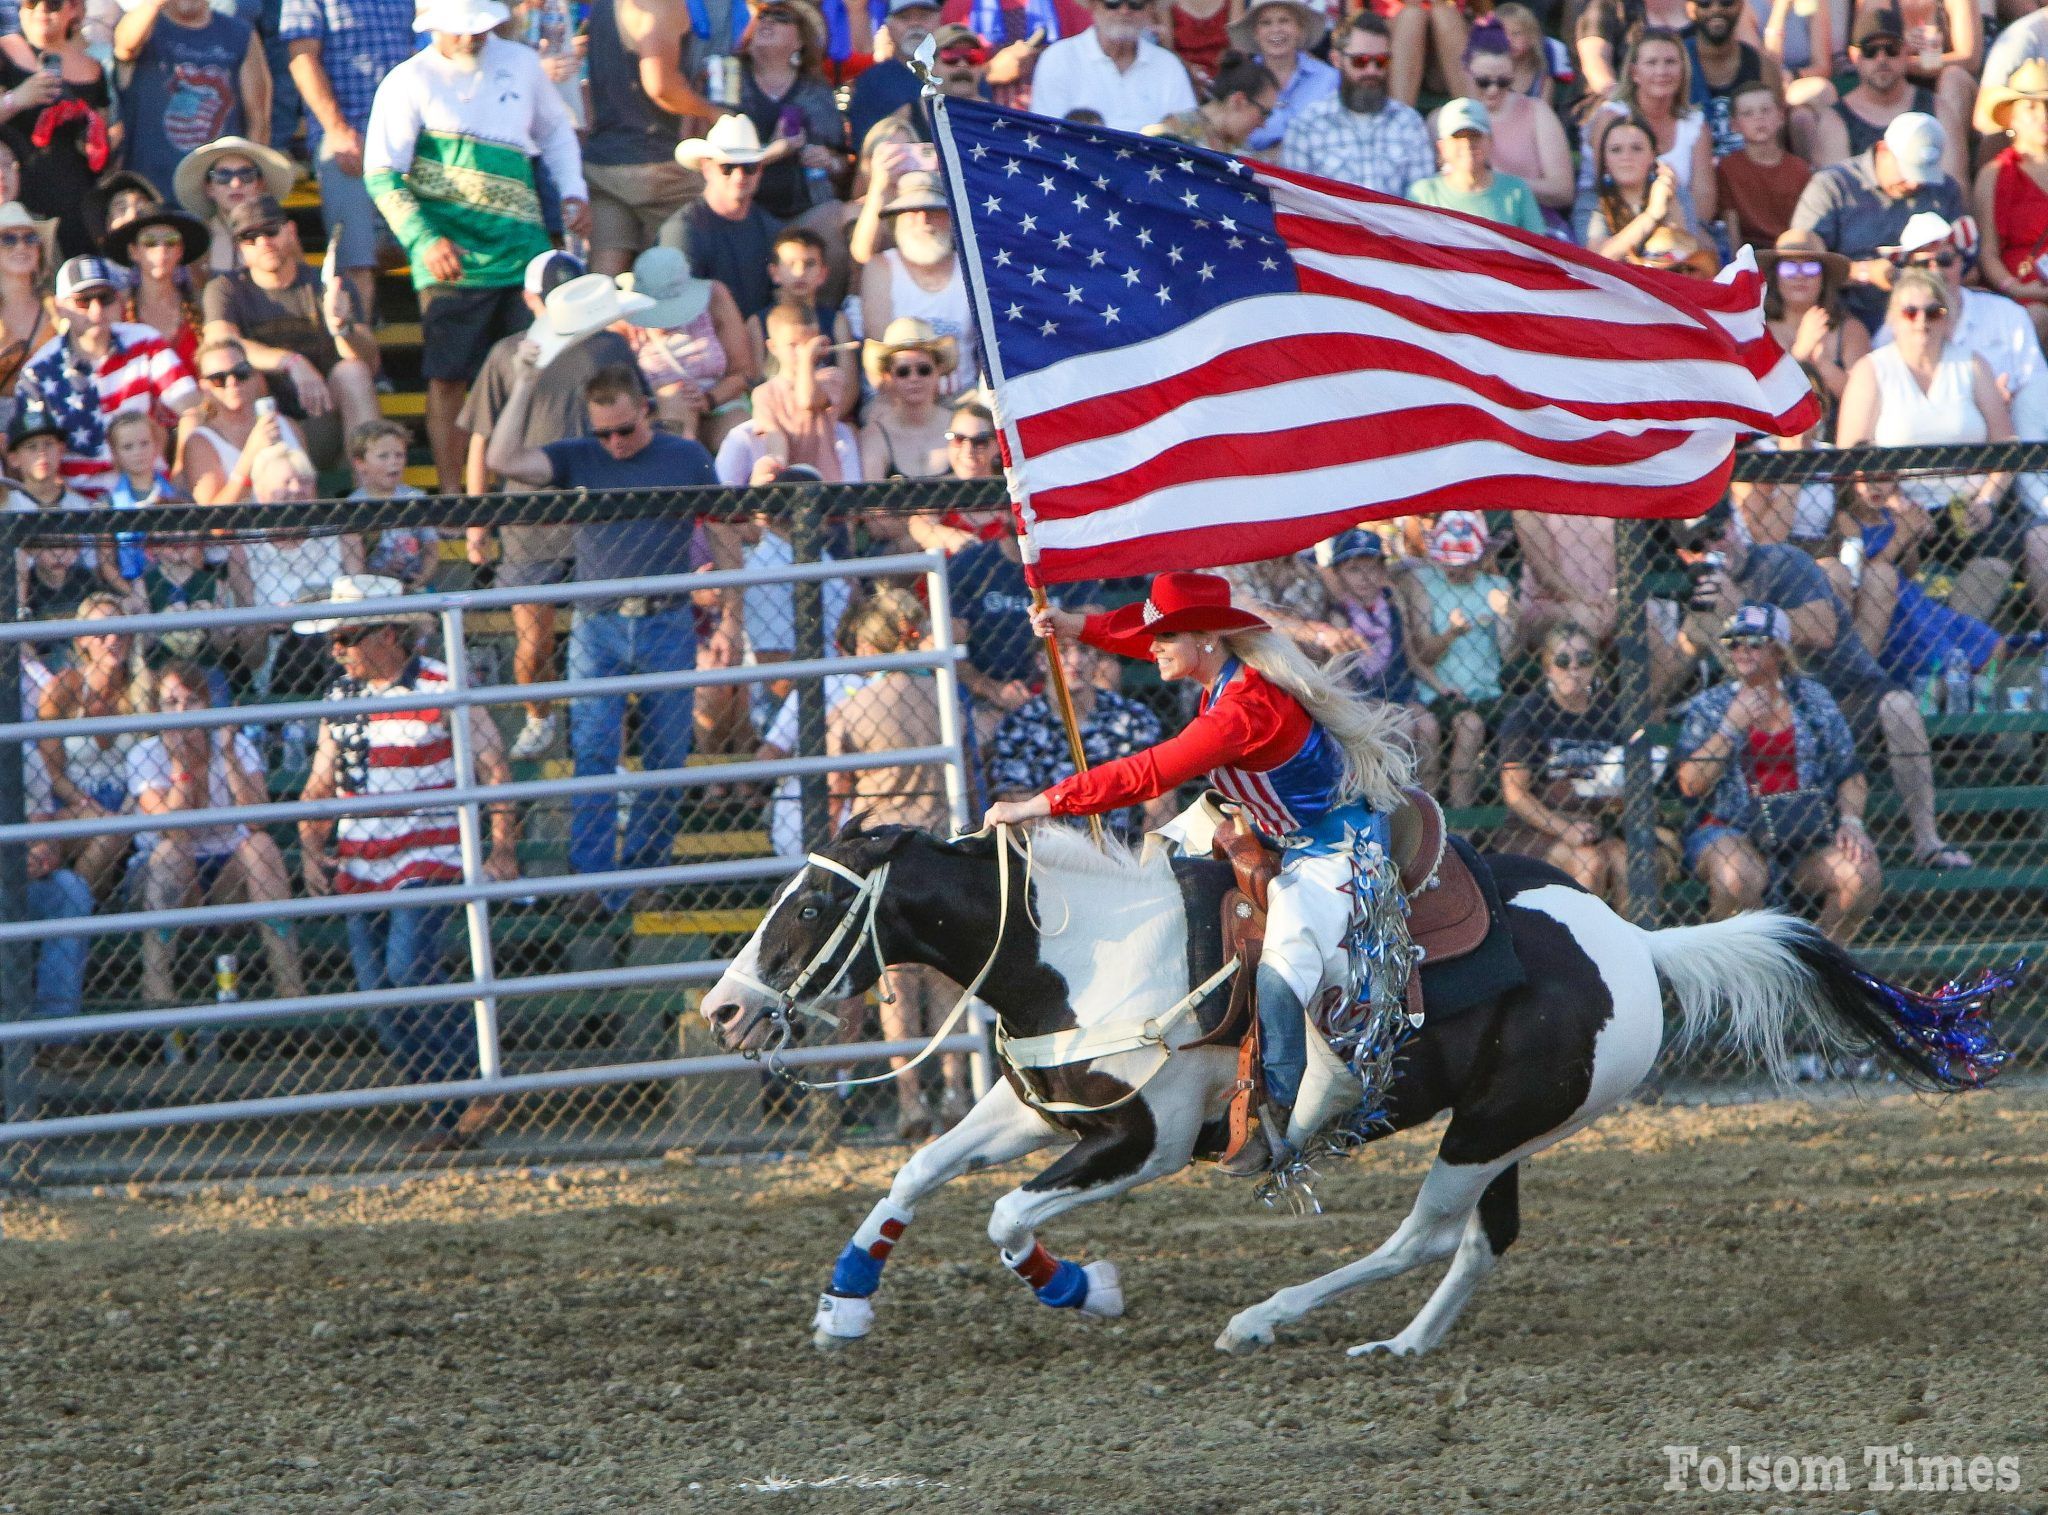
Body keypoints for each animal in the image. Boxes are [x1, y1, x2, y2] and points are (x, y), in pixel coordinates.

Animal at [696, 823, 2007, 1351]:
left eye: (807, 907)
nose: (723, 1009)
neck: (1094, 949)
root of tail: (1637, 946)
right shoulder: (1037, 1105)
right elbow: (919, 1169)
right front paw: (845, 1304)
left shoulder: (1144, 1141)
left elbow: (1008, 1216)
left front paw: (1084, 1287)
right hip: (1507, 1130)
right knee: (1477, 1243)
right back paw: (1400, 1348)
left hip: (1485, 1126)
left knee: (1422, 1235)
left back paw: (1265, 1319)